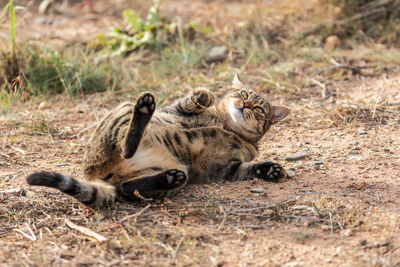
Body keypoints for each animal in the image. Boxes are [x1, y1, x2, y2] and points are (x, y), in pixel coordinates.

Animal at [26, 75, 290, 209]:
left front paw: (270, 169)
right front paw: (204, 95)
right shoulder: (175, 110)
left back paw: (170, 178)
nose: (245, 104)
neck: (226, 125)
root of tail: (93, 175)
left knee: (126, 187)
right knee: (126, 146)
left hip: (172, 171)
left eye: (259, 109)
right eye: (244, 94)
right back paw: (144, 109)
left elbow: (250, 168)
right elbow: (192, 100)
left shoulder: (225, 170)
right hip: (123, 111)